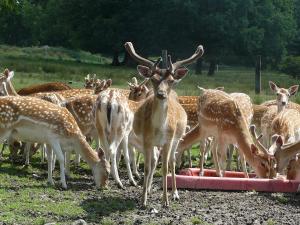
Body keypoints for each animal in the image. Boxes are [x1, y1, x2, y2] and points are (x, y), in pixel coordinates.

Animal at [124, 41, 204, 207]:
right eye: (153, 79)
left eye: (171, 81)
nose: (161, 94)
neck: (159, 128)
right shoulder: (146, 140)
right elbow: (147, 168)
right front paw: (143, 200)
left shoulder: (168, 140)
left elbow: (165, 167)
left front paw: (165, 201)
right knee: (155, 161)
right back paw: (149, 189)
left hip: (176, 139)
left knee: (172, 162)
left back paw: (175, 194)